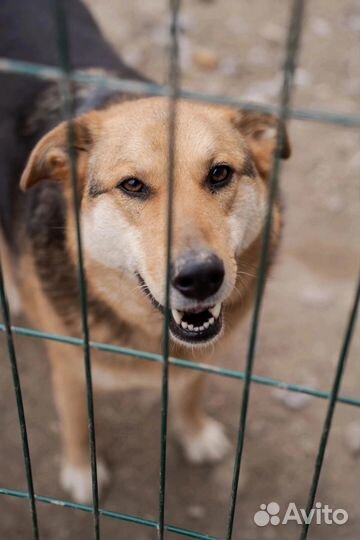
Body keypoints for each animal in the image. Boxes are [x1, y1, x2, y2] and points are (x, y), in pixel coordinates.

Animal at [0, 1, 292, 506]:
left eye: (220, 173)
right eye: (132, 185)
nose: (200, 277)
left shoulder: (202, 353)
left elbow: (191, 390)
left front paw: (195, 433)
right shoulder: (71, 365)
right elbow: (77, 418)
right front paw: (82, 471)